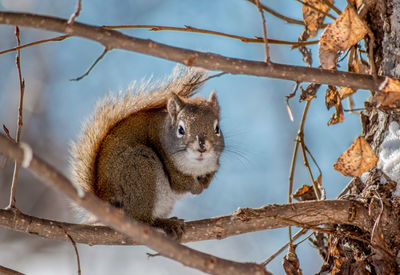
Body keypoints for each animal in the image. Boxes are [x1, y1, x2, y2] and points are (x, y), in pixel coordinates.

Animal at [70, 67, 223, 239]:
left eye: (217, 129)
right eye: (181, 129)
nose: (202, 146)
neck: (198, 165)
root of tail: (104, 202)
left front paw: (207, 180)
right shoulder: (169, 162)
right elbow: (181, 183)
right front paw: (197, 187)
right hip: (140, 168)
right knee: (140, 219)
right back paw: (164, 223)